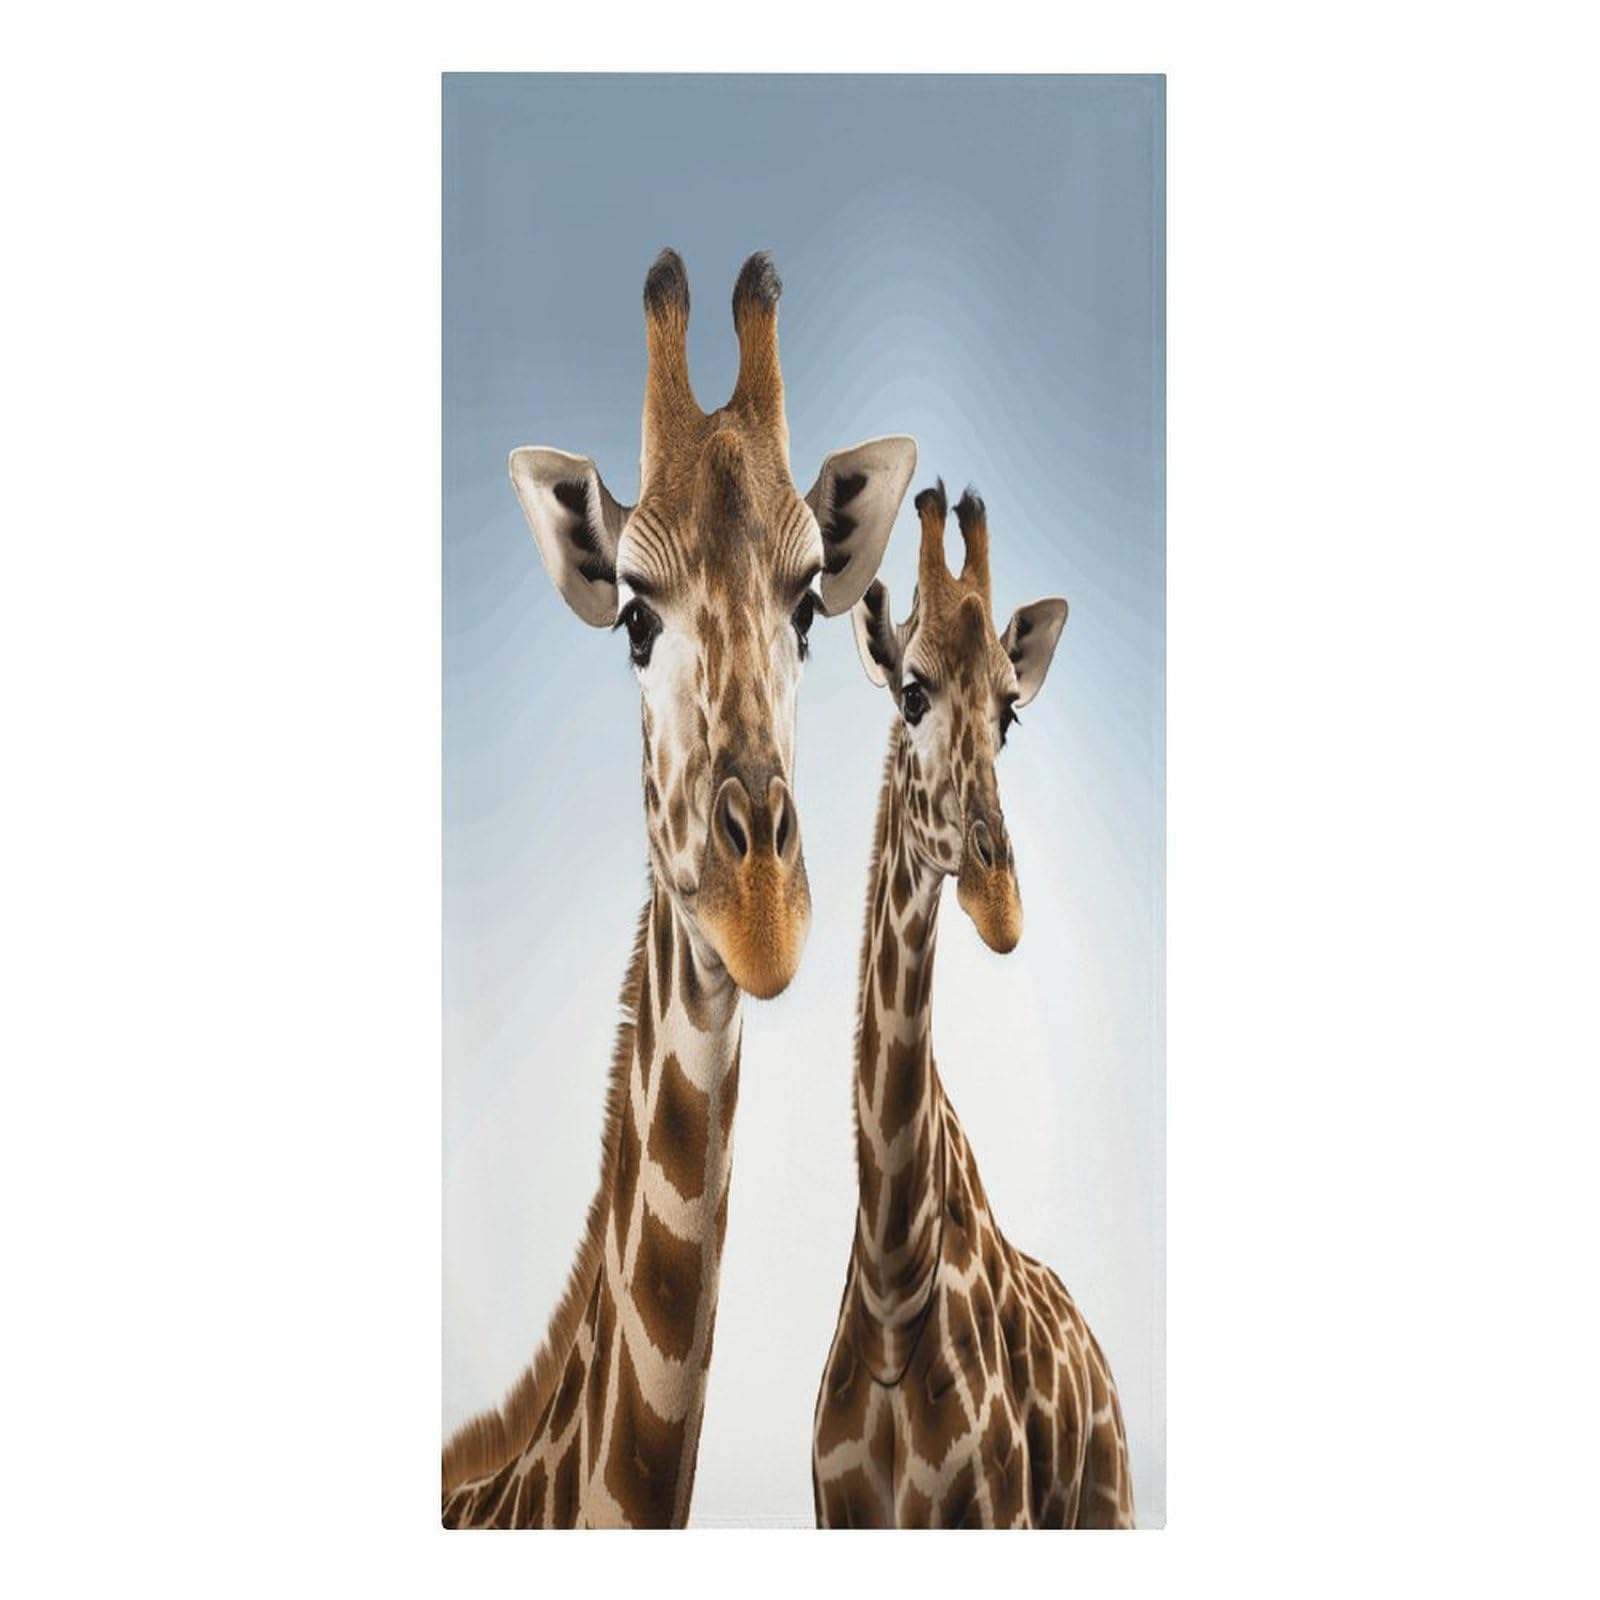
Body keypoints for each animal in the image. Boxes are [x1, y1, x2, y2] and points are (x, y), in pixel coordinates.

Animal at [811, 481, 1134, 1529]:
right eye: (912, 692)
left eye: (1010, 714)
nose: (1001, 907)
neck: (892, 1284)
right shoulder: (837, 1514)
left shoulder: (998, 1510)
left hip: (1106, 1503)